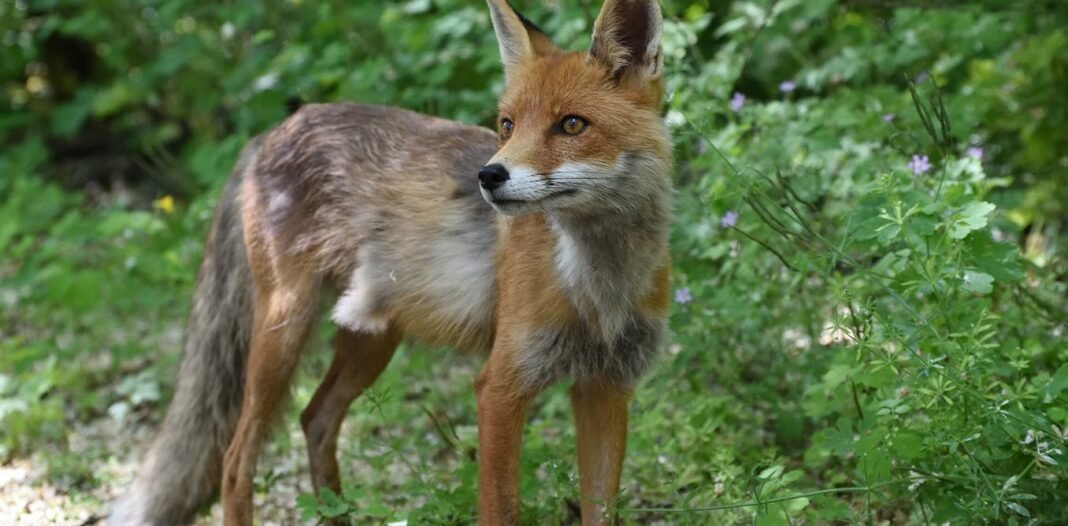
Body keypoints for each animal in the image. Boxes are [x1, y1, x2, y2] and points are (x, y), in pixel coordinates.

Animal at [109, 0, 672, 524]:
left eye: (572, 124)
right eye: (508, 125)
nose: (488, 176)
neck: (599, 289)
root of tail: (273, 130)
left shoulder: (607, 387)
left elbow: (602, 507)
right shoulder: (501, 387)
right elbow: (499, 507)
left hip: (371, 337)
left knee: (314, 419)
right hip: (283, 329)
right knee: (234, 459)